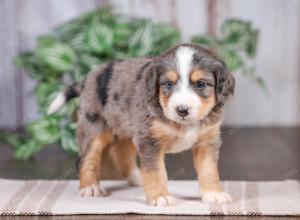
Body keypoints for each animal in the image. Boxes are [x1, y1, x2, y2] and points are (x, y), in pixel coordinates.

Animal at [48, 43, 234, 206]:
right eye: (168, 83)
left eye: (200, 83)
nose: (182, 110)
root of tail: (86, 79)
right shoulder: (150, 140)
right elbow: (156, 171)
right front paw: (160, 197)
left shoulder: (207, 141)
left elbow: (208, 169)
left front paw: (213, 194)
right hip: (94, 128)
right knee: (86, 158)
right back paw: (90, 187)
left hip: (127, 128)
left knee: (121, 154)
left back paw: (137, 178)